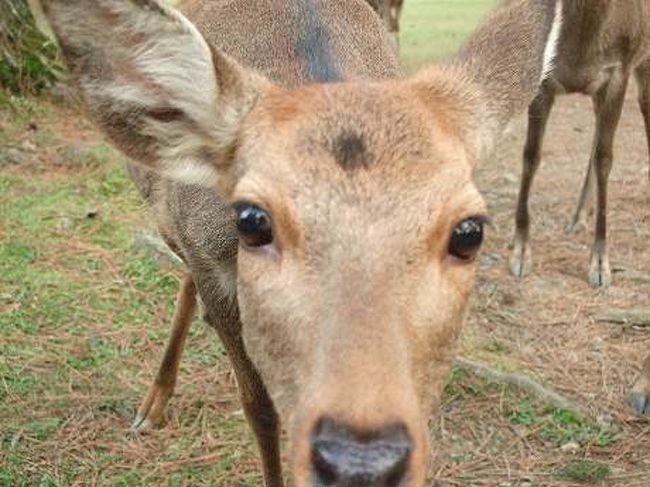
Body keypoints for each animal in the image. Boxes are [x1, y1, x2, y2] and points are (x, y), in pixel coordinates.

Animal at [41, 0, 560, 486]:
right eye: (252, 221)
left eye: (470, 232)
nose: (361, 460)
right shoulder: (209, 258)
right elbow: (260, 409)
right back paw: (152, 406)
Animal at [506, 0, 648, 290]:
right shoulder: (543, 78)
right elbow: (531, 155)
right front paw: (521, 251)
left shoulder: (620, 70)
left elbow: (605, 159)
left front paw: (600, 264)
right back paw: (578, 216)